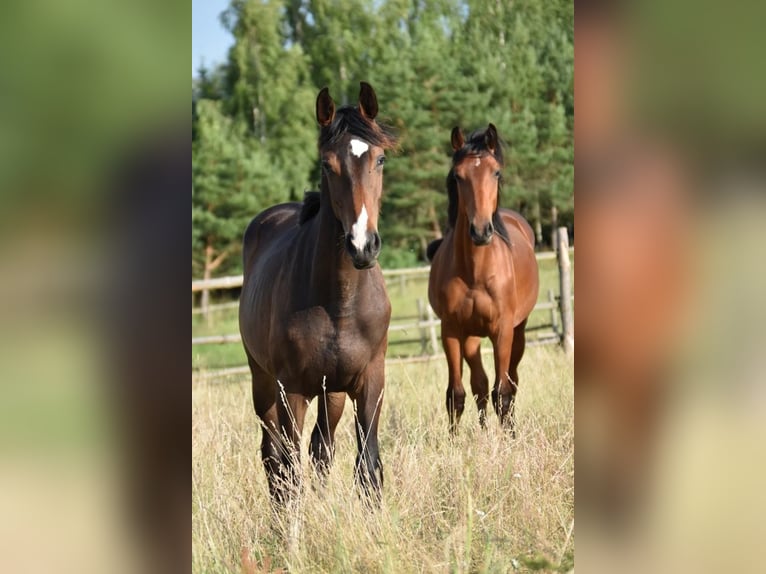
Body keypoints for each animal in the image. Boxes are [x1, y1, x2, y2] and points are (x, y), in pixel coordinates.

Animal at [238, 82, 397, 503]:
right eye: (327, 165)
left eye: (380, 160)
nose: (362, 246)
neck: (339, 303)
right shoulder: (290, 391)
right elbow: (290, 469)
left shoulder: (370, 381)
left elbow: (367, 466)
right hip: (264, 384)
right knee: (274, 456)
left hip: (332, 394)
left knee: (320, 449)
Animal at [427, 124, 539, 435]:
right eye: (458, 176)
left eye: (496, 172)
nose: (480, 231)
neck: (475, 272)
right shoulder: (451, 332)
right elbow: (456, 394)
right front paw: (453, 442)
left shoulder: (503, 331)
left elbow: (503, 392)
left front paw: (508, 438)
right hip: (472, 337)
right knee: (479, 383)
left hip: (518, 332)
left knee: (511, 381)